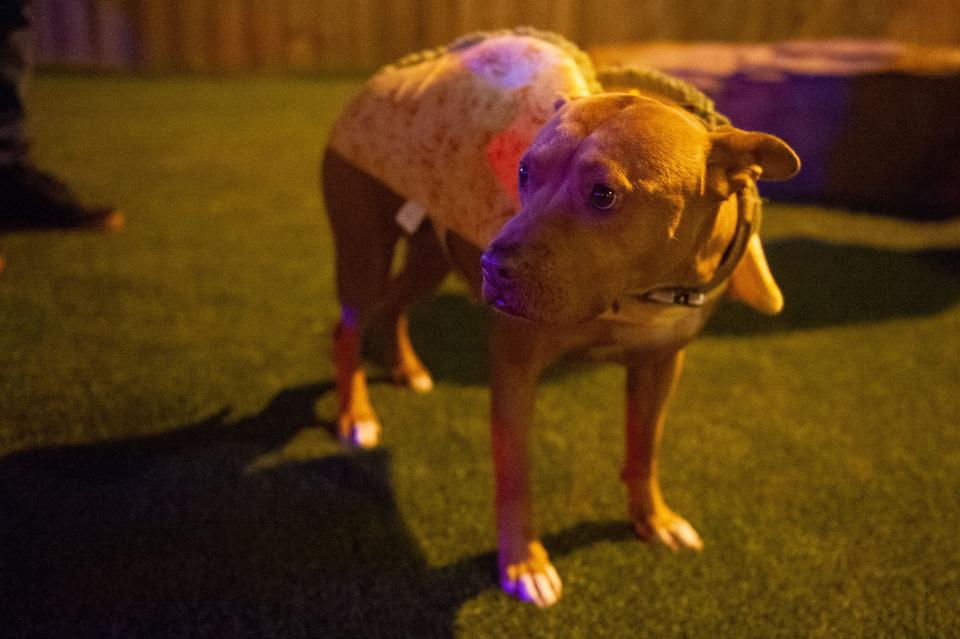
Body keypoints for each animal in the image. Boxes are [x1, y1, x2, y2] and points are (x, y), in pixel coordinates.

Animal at [318, 31, 800, 608]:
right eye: (524, 171)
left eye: (603, 194)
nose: (493, 267)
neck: (643, 293)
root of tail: (381, 79)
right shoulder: (515, 365)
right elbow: (515, 472)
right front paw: (523, 562)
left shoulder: (661, 364)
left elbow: (646, 447)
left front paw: (653, 519)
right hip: (364, 247)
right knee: (347, 327)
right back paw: (356, 415)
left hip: (431, 256)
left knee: (394, 305)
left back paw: (406, 368)